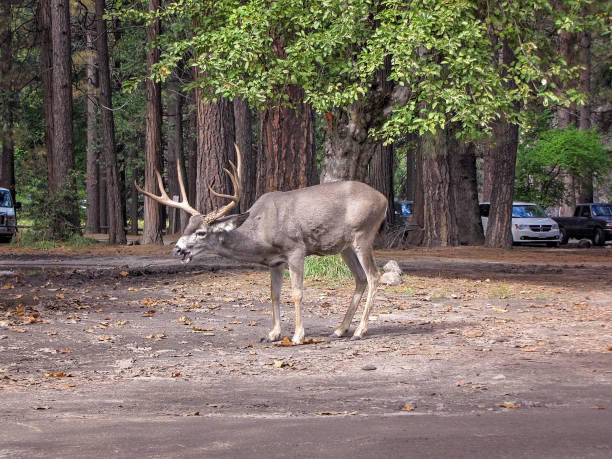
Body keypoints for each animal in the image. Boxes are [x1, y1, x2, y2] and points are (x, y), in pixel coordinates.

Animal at [137, 146, 388, 344]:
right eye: (186, 228)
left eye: (201, 232)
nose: (177, 249)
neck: (260, 233)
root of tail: (384, 199)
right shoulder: (275, 261)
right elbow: (274, 294)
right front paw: (273, 333)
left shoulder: (296, 249)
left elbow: (296, 293)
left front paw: (297, 335)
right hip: (345, 246)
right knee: (360, 278)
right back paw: (339, 329)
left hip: (363, 234)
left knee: (374, 276)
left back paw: (359, 331)